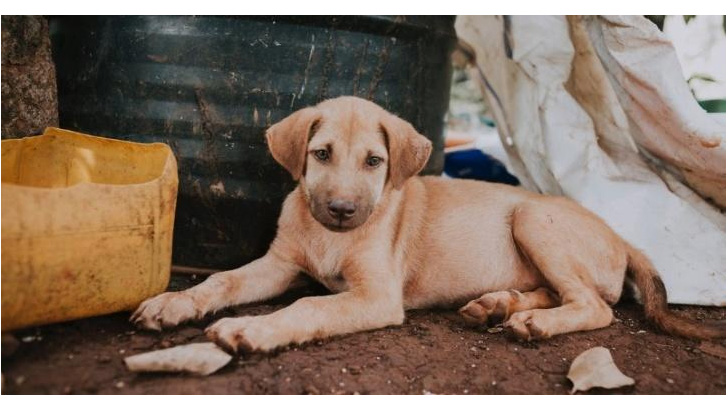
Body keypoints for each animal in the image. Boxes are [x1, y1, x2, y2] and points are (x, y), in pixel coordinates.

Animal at [131, 97, 724, 352]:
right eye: (321, 154)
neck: (331, 238)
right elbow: (220, 280)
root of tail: (622, 237)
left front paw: (252, 329)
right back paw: (499, 305)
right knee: (563, 293)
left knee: (595, 306)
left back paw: (532, 322)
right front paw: (172, 303)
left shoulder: (375, 295)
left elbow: (309, 307)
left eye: (375, 162)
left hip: (534, 216)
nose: (341, 209)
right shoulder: (279, 265)